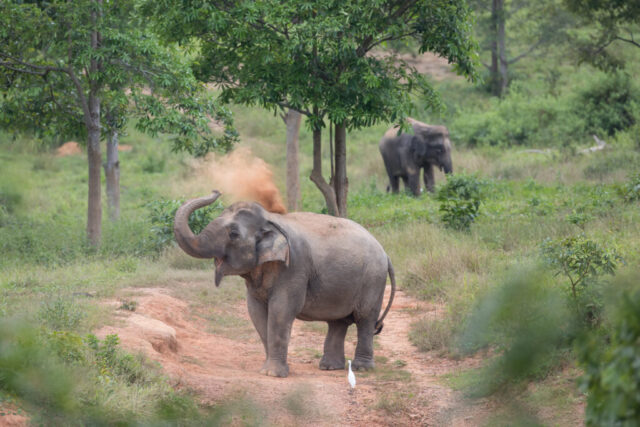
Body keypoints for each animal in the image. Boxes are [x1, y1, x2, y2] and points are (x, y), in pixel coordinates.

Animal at [174, 191, 396, 378]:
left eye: (234, 234)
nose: (216, 191)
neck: (270, 219)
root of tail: (385, 253)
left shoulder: (295, 267)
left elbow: (281, 310)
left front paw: (273, 374)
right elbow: (256, 312)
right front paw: (267, 370)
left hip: (373, 280)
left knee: (365, 319)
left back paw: (362, 368)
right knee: (338, 322)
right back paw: (329, 367)